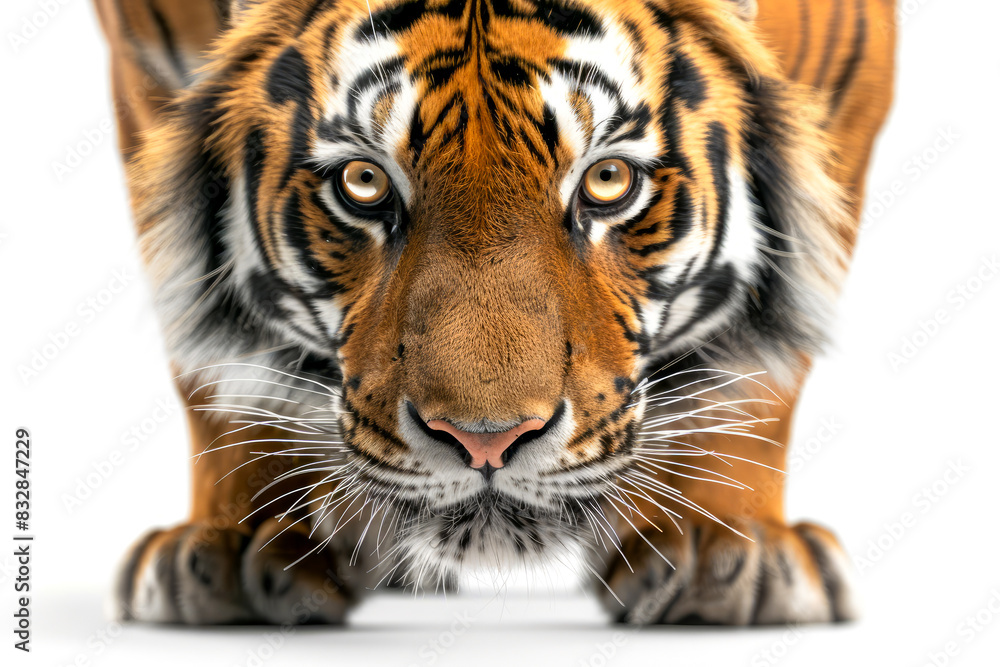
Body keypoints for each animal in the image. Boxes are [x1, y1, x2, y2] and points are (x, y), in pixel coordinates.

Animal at [94, 0, 895, 625]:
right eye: (363, 183)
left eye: (608, 180)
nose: (486, 441)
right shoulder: (150, 80)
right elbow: (217, 372)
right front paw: (239, 541)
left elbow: (753, 377)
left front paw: (722, 544)